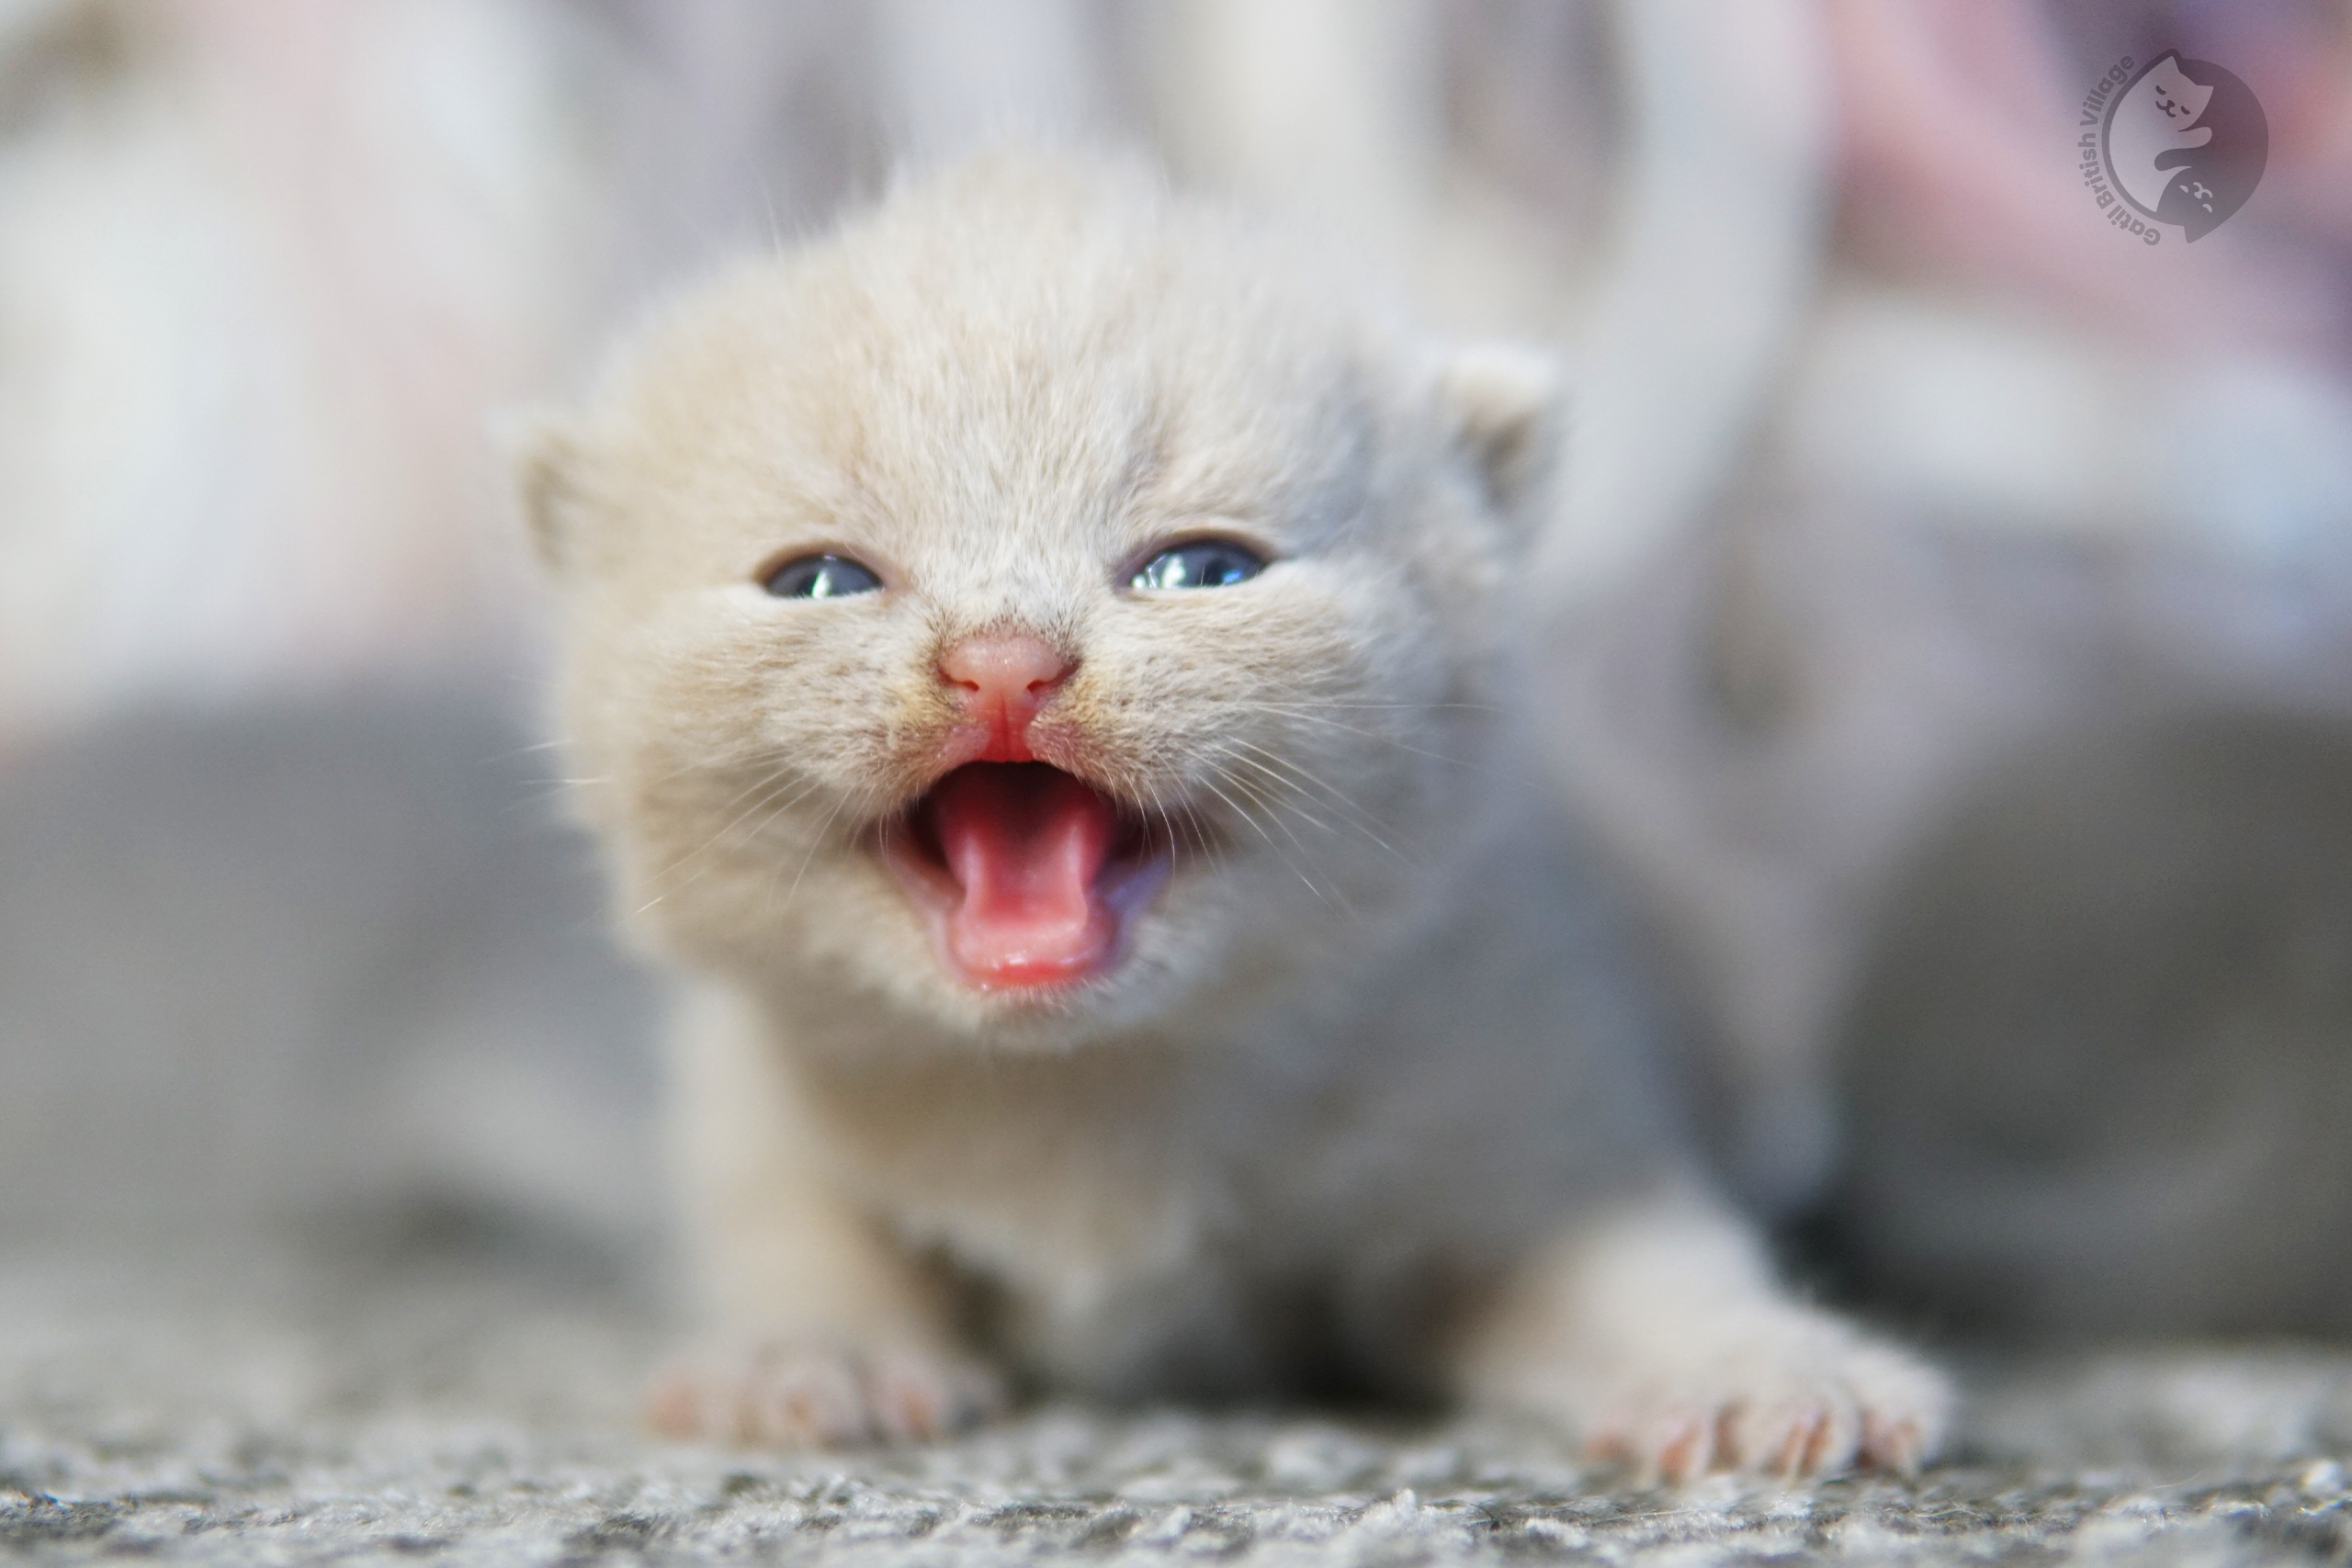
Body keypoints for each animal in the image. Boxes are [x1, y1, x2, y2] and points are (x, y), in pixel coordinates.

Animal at [519, 152, 1947, 1476]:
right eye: (817, 580)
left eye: (1201, 569)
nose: (1003, 662)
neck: (1085, 1085)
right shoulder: (757, 1097)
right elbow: (791, 1234)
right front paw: (808, 1357)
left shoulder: (1519, 1043)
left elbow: (1637, 1264)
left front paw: (1763, 1371)